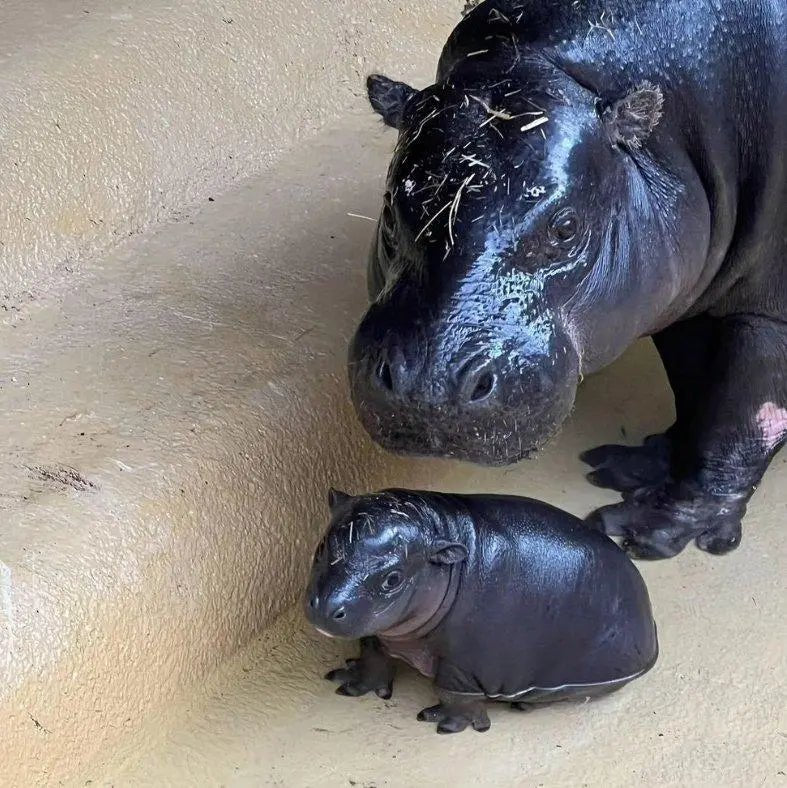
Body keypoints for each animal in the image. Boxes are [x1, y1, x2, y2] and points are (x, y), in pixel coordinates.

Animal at [306, 488, 659, 734]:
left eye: (393, 578)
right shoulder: (382, 630)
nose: (325, 606)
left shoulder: (463, 660)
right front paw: (350, 681)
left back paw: (521, 706)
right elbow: (372, 653)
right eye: (321, 547)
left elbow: (453, 693)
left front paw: (445, 723)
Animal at [347, 0, 787, 559]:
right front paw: (642, 466)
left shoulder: (770, 313)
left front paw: (648, 530)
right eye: (389, 206)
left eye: (566, 227)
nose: (430, 386)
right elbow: (693, 383)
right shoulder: (686, 292)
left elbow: (741, 419)